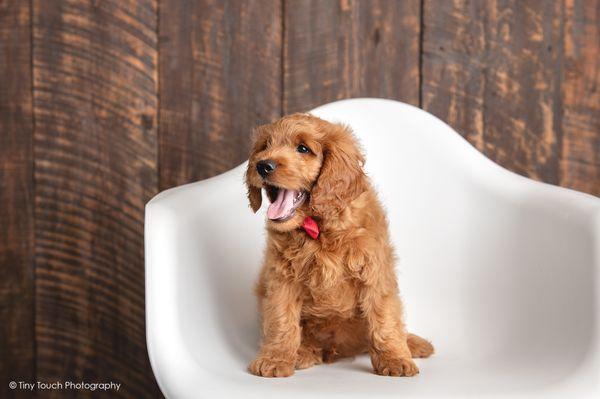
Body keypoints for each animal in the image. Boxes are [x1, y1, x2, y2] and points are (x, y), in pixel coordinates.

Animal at [246, 113, 434, 378]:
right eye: (265, 146)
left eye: (303, 148)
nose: (263, 165)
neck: (319, 227)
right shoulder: (282, 279)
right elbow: (281, 320)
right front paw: (276, 359)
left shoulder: (375, 272)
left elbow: (384, 319)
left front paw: (395, 359)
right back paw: (303, 353)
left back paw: (413, 343)